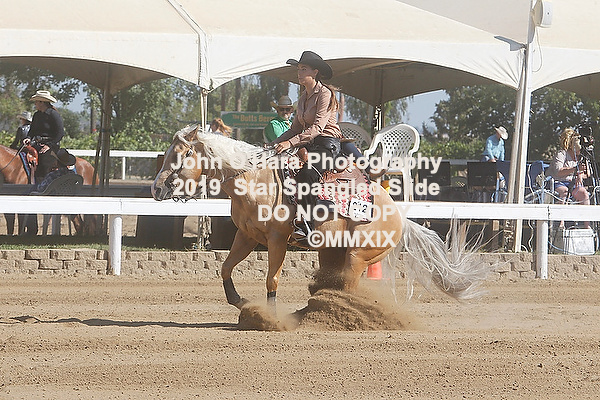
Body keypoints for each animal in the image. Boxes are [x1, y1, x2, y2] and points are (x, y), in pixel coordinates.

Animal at [152, 125, 489, 309]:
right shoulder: (246, 236)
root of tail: (399, 218)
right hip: (332, 253)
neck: (256, 180)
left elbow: (272, 279)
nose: (157, 188)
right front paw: (239, 301)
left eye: (181, 155)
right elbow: (225, 268)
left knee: (347, 288)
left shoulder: (277, 241)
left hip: (358, 256)